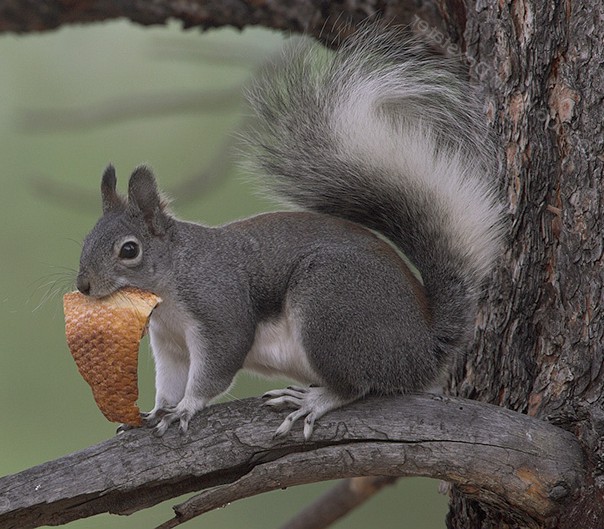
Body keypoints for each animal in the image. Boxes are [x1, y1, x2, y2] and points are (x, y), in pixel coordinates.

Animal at [75, 23, 502, 438]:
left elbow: (214, 369)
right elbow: (169, 382)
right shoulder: (169, 343)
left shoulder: (218, 311)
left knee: (358, 385)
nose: (83, 286)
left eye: (129, 250)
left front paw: (187, 407)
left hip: (331, 307)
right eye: (86, 240)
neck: (171, 286)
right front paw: (157, 410)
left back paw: (315, 401)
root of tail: (423, 349)